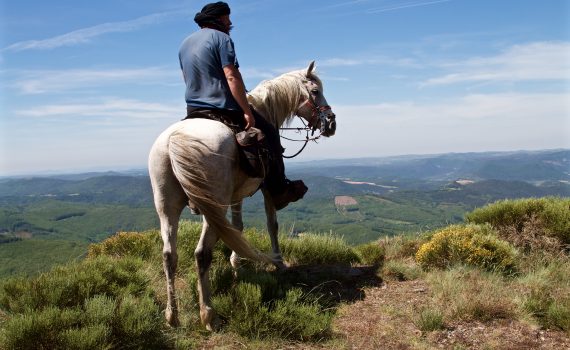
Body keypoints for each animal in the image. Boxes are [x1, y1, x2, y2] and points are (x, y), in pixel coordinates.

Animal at [148, 61, 332, 330]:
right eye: (316, 91)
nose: (331, 122)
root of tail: (175, 140)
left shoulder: (236, 196)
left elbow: (237, 227)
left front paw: (237, 264)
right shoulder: (266, 188)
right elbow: (272, 224)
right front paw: (279, 262)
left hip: (167, 206)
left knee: (169, 255)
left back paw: (172, 316)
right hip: (213, 205)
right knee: (201, 254)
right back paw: (208, 315)